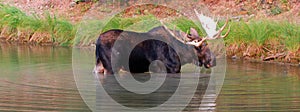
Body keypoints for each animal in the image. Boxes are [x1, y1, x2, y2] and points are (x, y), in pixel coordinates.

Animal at [95, 9, 231, 74]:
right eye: (200, 47)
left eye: (207, 44)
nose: (213, 60)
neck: (182, 55)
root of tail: (97, 42)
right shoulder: (166, 69)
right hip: (111, 66)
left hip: (99, 66)